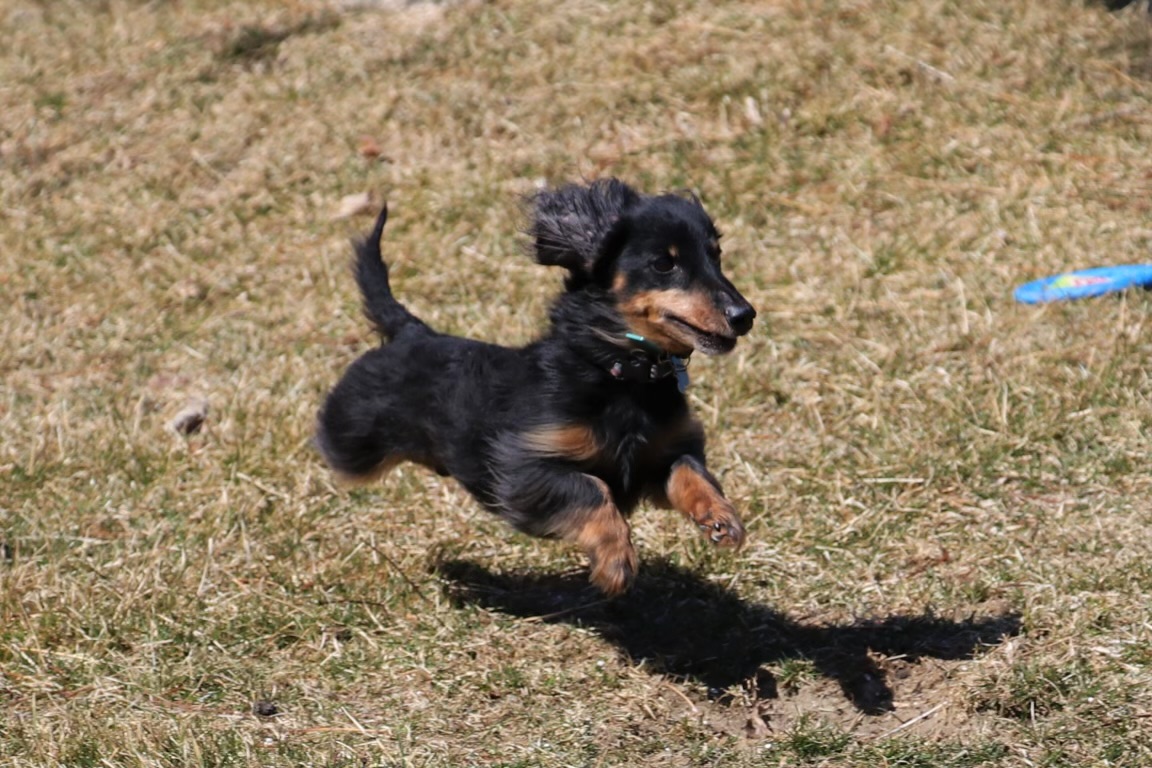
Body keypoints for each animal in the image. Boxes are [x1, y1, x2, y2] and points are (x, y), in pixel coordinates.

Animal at [320, 178, 760, 594]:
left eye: (716, 256)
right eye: (664, 264)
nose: (745, 315)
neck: (619, 374)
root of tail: (413, 331)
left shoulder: (661, 454)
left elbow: (690, 471)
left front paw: (721, 519)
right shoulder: (524, 468)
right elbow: (593, 489)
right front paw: (615, 562)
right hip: (353, 442)